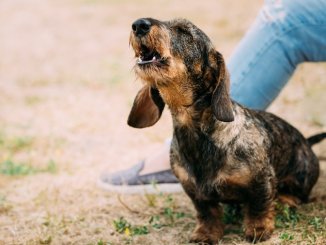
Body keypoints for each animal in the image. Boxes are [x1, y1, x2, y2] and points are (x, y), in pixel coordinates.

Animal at [126, 17, 324, 243]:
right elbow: (207, 213)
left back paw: (285, 200)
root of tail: (307, 142)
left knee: (297, 194)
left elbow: (259, 205)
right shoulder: (194, 191)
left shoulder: (261, 180)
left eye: (184, 31)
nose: (139, 24)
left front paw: (258, 228)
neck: (197, 135)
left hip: (301, 175)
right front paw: (206, 233)